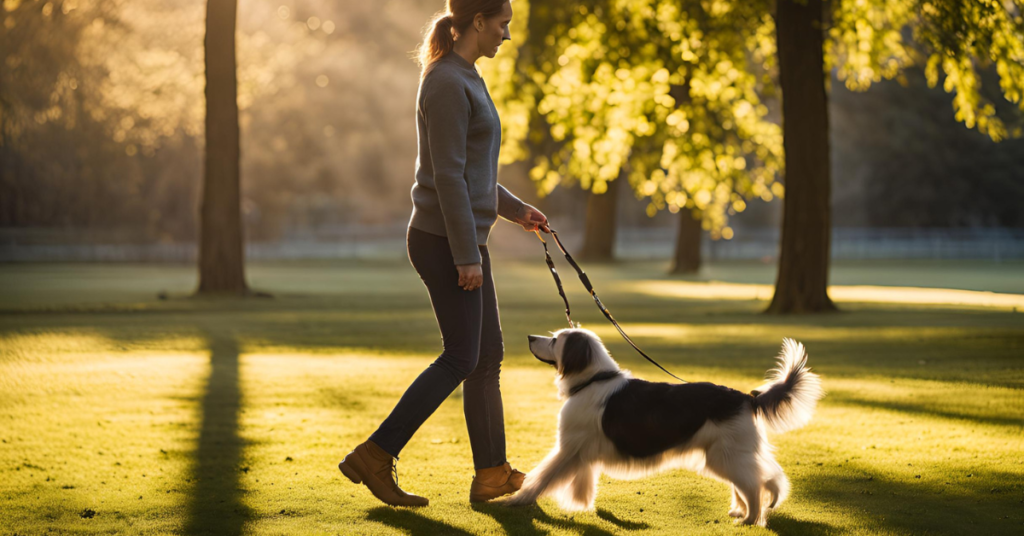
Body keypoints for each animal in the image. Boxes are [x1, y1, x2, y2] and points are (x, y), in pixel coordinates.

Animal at [507, 330, 827, 524]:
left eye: (554, 340)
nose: (530, 336)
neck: (593, 380)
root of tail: (745, 397)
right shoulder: (579, 450)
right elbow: (581, 481)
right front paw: (580, 505)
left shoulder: (567, 448)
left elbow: (541, 477)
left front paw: (517, 500)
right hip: (731, 455)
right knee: (762, 477)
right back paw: (744, 510)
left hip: (725, 457)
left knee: (753, 484)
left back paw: (750, 519)